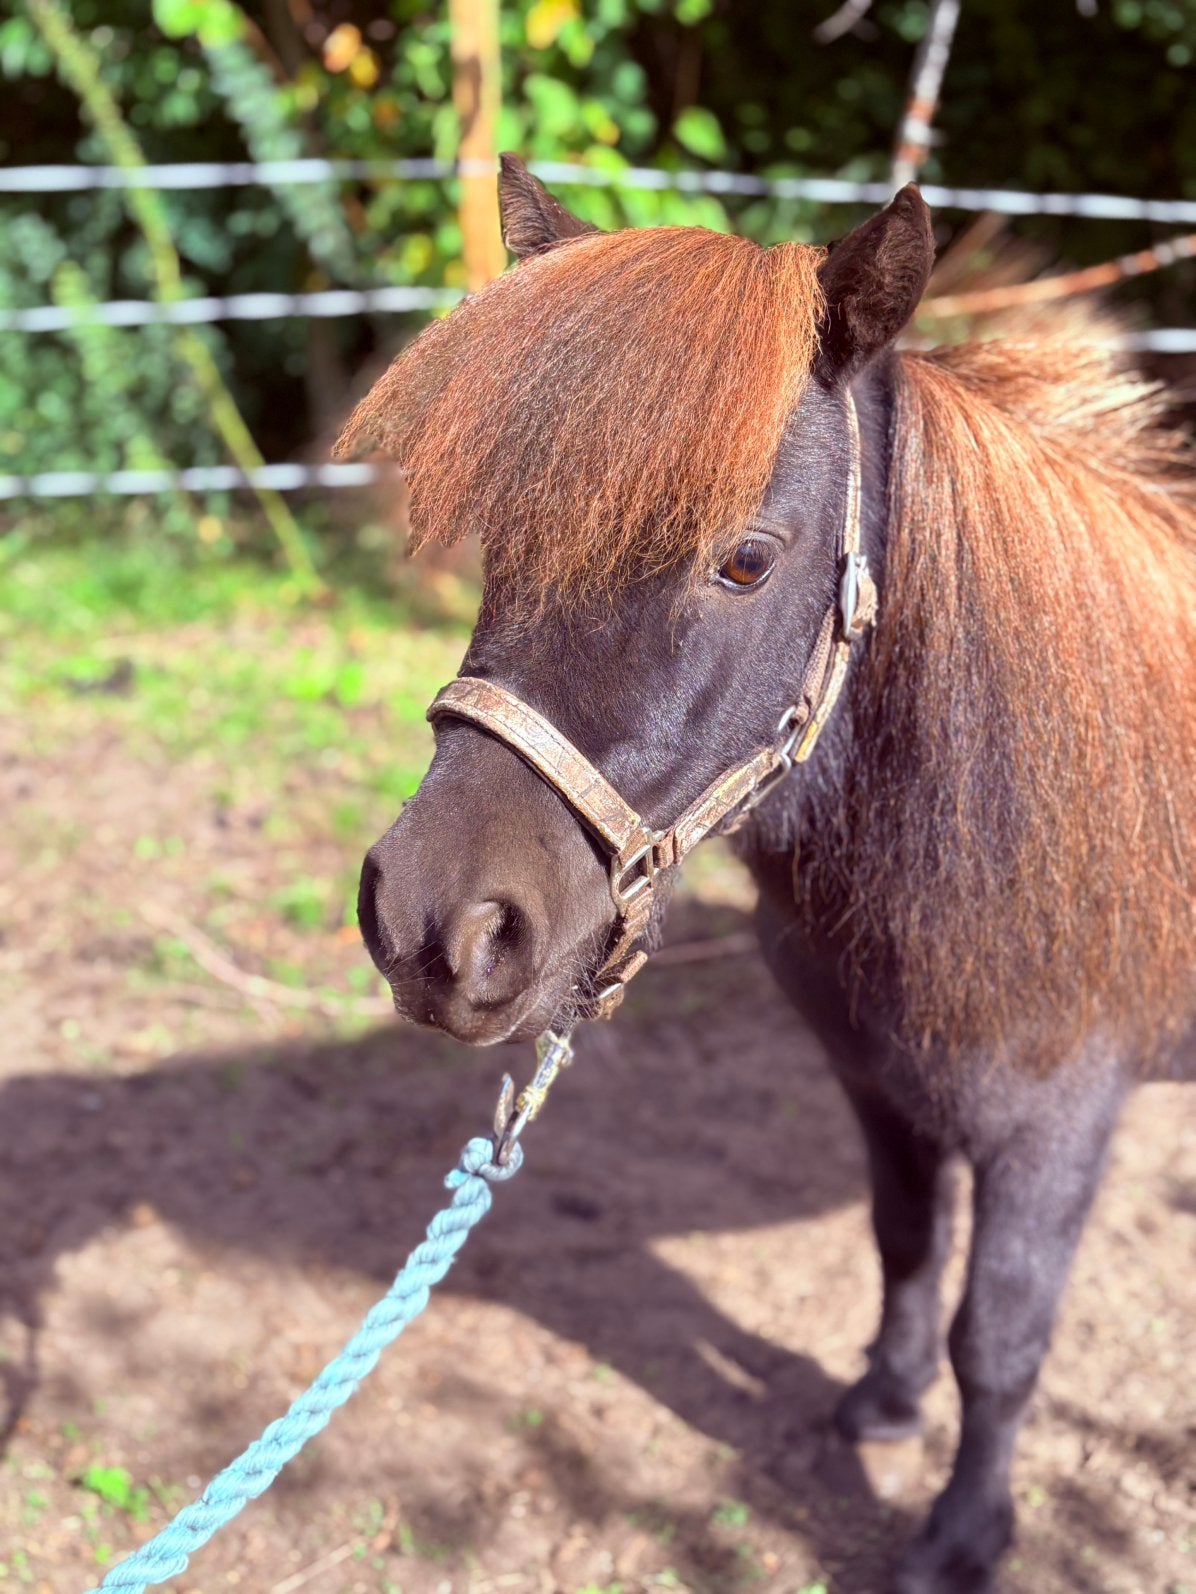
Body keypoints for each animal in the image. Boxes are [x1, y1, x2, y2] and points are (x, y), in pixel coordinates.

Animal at [335, 156, 1196, 1594]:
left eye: (745, 558)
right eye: (510, 534)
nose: (434, 924)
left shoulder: (1056, 1121)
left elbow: (1000, 1337)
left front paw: (960, 1536)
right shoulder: (877, 1074)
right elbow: (904, 1246)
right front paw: (884, 1403)